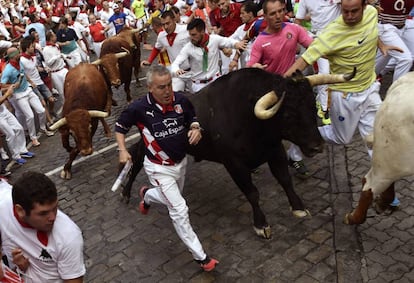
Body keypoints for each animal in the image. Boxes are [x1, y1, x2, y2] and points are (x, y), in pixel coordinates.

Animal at [121, 69, 348, 240]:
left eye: (312, 105)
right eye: (288, 114)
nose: (317, 146)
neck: (249, 117)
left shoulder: (275, 150)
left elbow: (285, 179)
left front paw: (299, 207)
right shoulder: (234, 164)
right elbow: (252, 193)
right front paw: (261, 225)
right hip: (146, 146)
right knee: (136, 159)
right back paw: (126, 192)